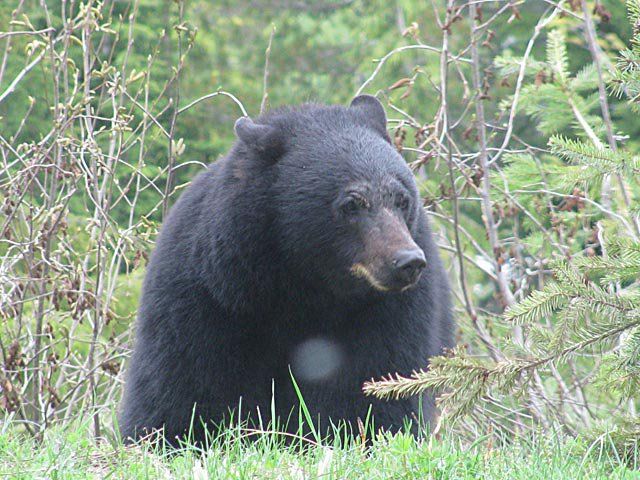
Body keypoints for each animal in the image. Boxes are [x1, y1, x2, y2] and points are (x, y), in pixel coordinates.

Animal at [117, 95, 452, 444]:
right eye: (352, 204)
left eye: (402, 199)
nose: (407, 261)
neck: (304, 283)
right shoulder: (208, 292)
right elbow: (181, 378)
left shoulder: (392, 309)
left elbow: (380, 378)